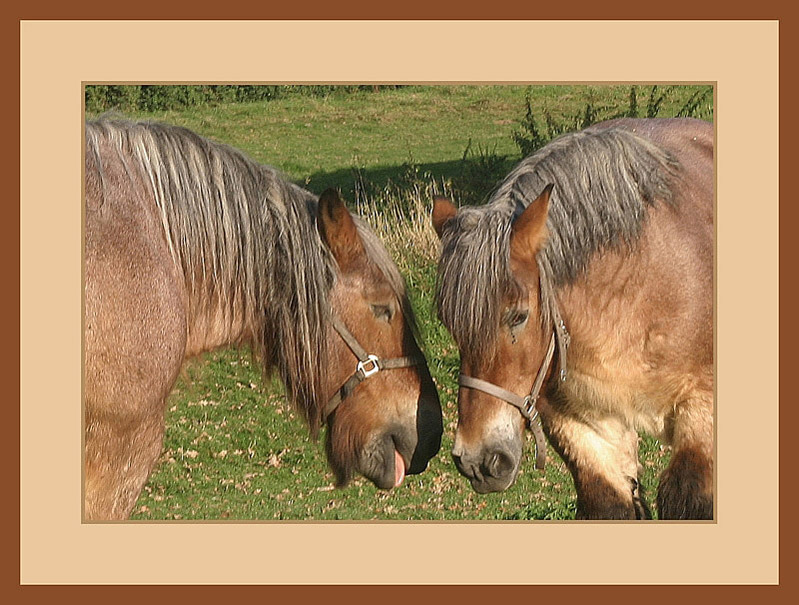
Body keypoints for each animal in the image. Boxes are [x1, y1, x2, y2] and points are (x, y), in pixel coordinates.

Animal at [434, 118, 716, 520]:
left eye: (518, 316)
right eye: (449, 324)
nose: (477, 460)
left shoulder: (702, 411)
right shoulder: (580, 426)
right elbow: (609, 503)